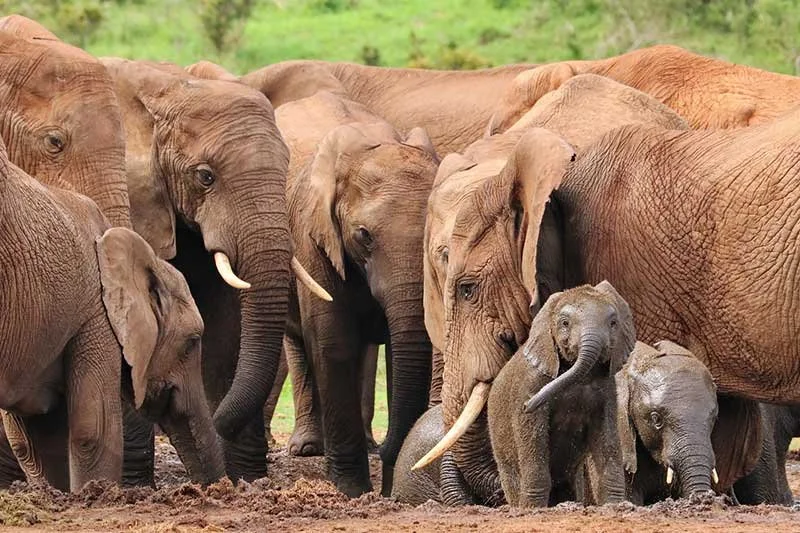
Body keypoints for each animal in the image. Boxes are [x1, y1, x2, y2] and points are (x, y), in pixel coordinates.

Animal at [275, 90, 439, 496]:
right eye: (363, 235)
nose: (389, 450)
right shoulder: (312, 236)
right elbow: (332, 342)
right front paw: (351, 490)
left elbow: (400, 352)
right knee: (299, 342)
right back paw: (308, 448)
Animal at [486, 282, 632, 508]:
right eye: (564, 323)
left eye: (613, 323)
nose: (528, 405)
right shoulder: (530, 383)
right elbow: (533, 438)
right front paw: (532, 508)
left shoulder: (607, 391)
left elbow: (607, 439)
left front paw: (615, 505)